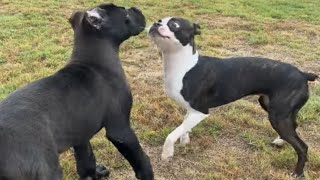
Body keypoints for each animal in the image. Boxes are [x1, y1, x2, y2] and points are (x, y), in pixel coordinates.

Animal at [0, 3, 154, 180]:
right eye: (125, 13)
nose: (136, 8)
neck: (96, 61)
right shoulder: (120, 129)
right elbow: (141, 159)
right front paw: (147, 173)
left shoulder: (81, 135)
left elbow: (86, 161)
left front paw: (95, 174)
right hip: (48, 170)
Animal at [149, 17, 318, 177]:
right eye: (160, 20)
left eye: (174, 25)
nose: (156, 24)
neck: (184, 64)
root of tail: (303, 74)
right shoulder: (191, 110)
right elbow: (183, 126)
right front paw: (184, 141)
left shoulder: (200, 112)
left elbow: (172, 134)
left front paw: (167, 153)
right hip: (275, 108)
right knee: (294, 126)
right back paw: (280, 140)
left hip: (278, 116)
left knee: (302, 146)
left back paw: (298, 173)